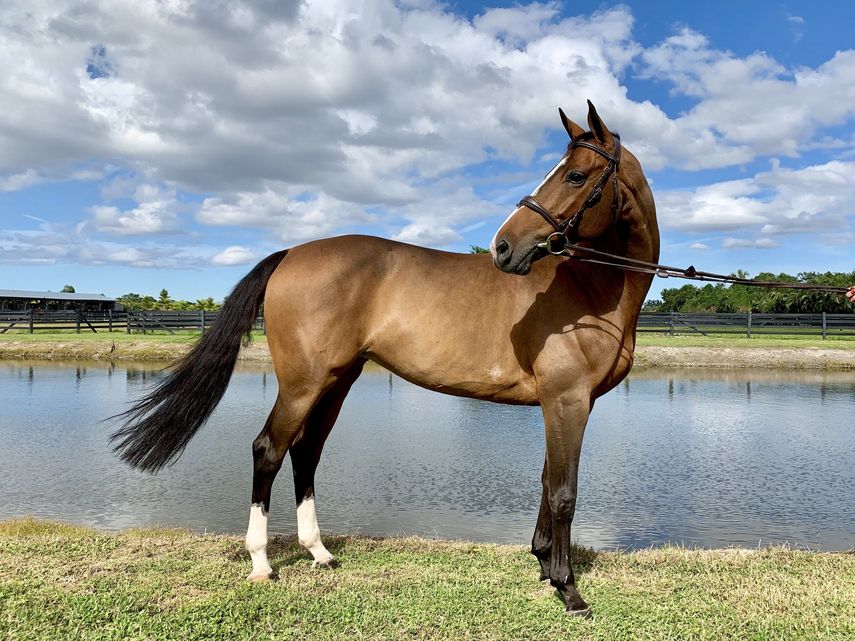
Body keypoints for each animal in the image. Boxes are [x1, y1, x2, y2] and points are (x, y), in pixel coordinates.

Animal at [111, 101, 659, 616]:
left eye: (574, 174)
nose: (504, 247)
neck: (590, 289)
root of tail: (291, 254)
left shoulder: (559, 404)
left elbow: (548, 483)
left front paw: (545, 566)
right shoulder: (567, 401)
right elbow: (564, 492)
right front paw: (569, 589)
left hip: (337, 381)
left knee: (305, 452)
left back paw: (319, 552)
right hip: (303, 384)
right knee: (268, 449)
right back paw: (262, 562)